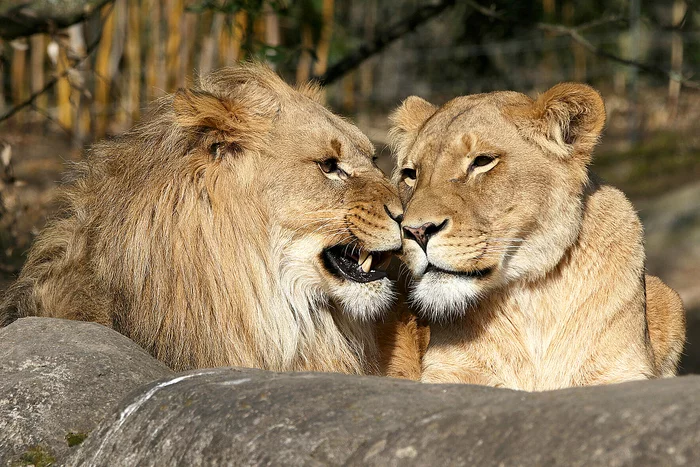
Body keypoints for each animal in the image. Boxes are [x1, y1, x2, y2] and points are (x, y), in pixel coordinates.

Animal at [392, 82, 688, 390]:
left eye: (482, 161)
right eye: (410, 174)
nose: (416, 231)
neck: (531, 301)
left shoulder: (621, 372)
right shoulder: (448, 373)